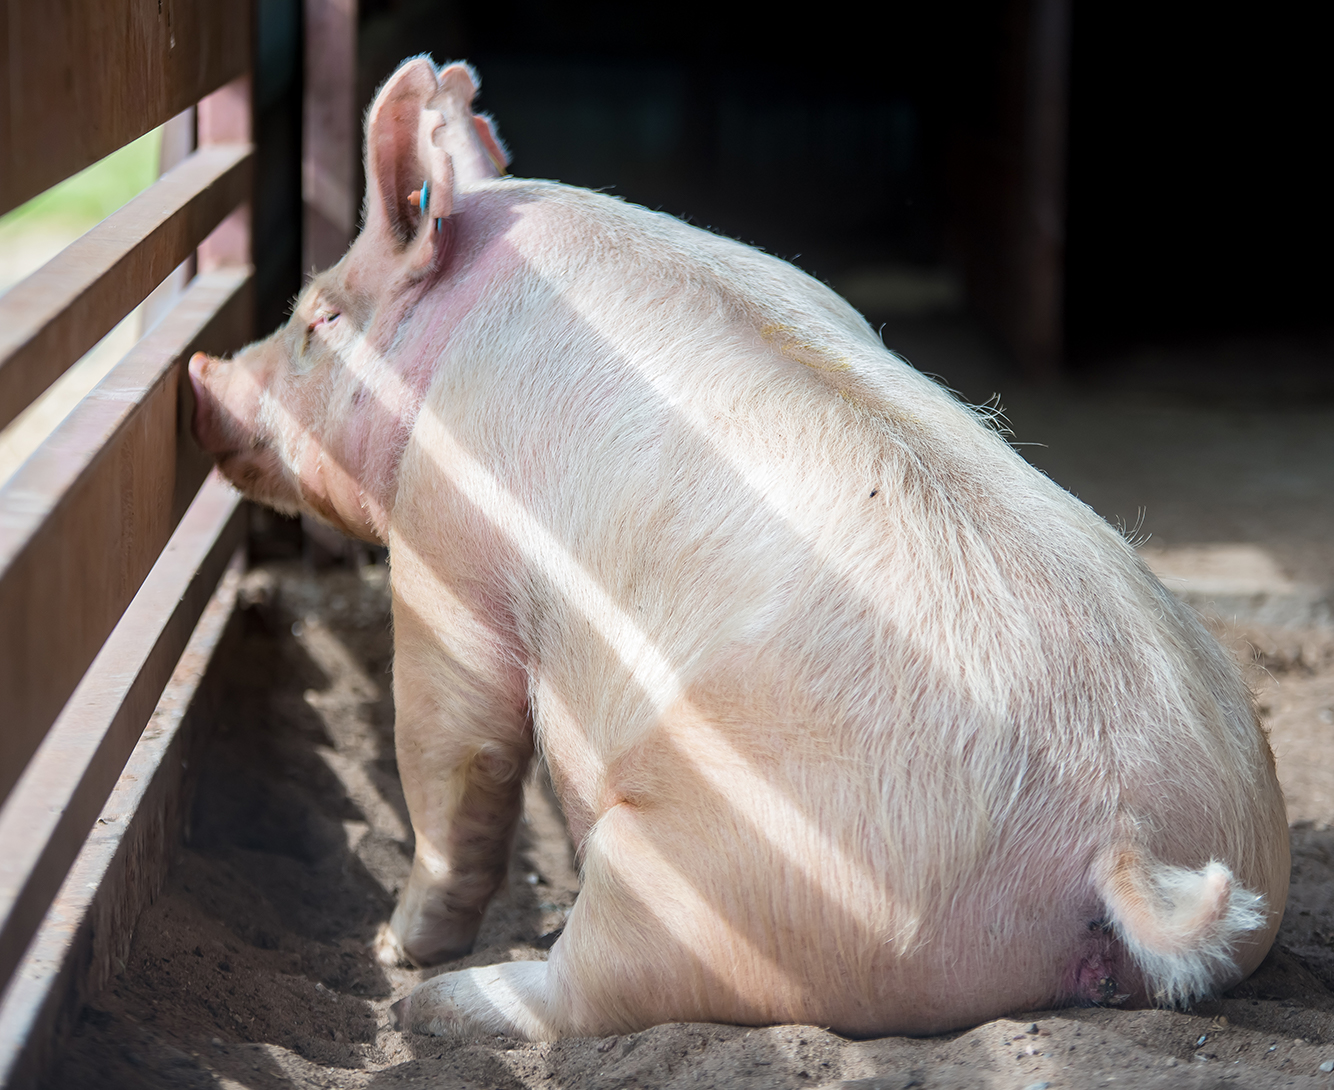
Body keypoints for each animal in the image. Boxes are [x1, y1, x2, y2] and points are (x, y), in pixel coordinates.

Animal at [182, 57, 1285, 1035]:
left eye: (320, 318)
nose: (200, 374)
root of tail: (1122, 835)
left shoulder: (446, 550)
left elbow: (455, 749)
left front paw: (393, 946)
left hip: (723, 880)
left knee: (587, 992)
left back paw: (431, 1007)